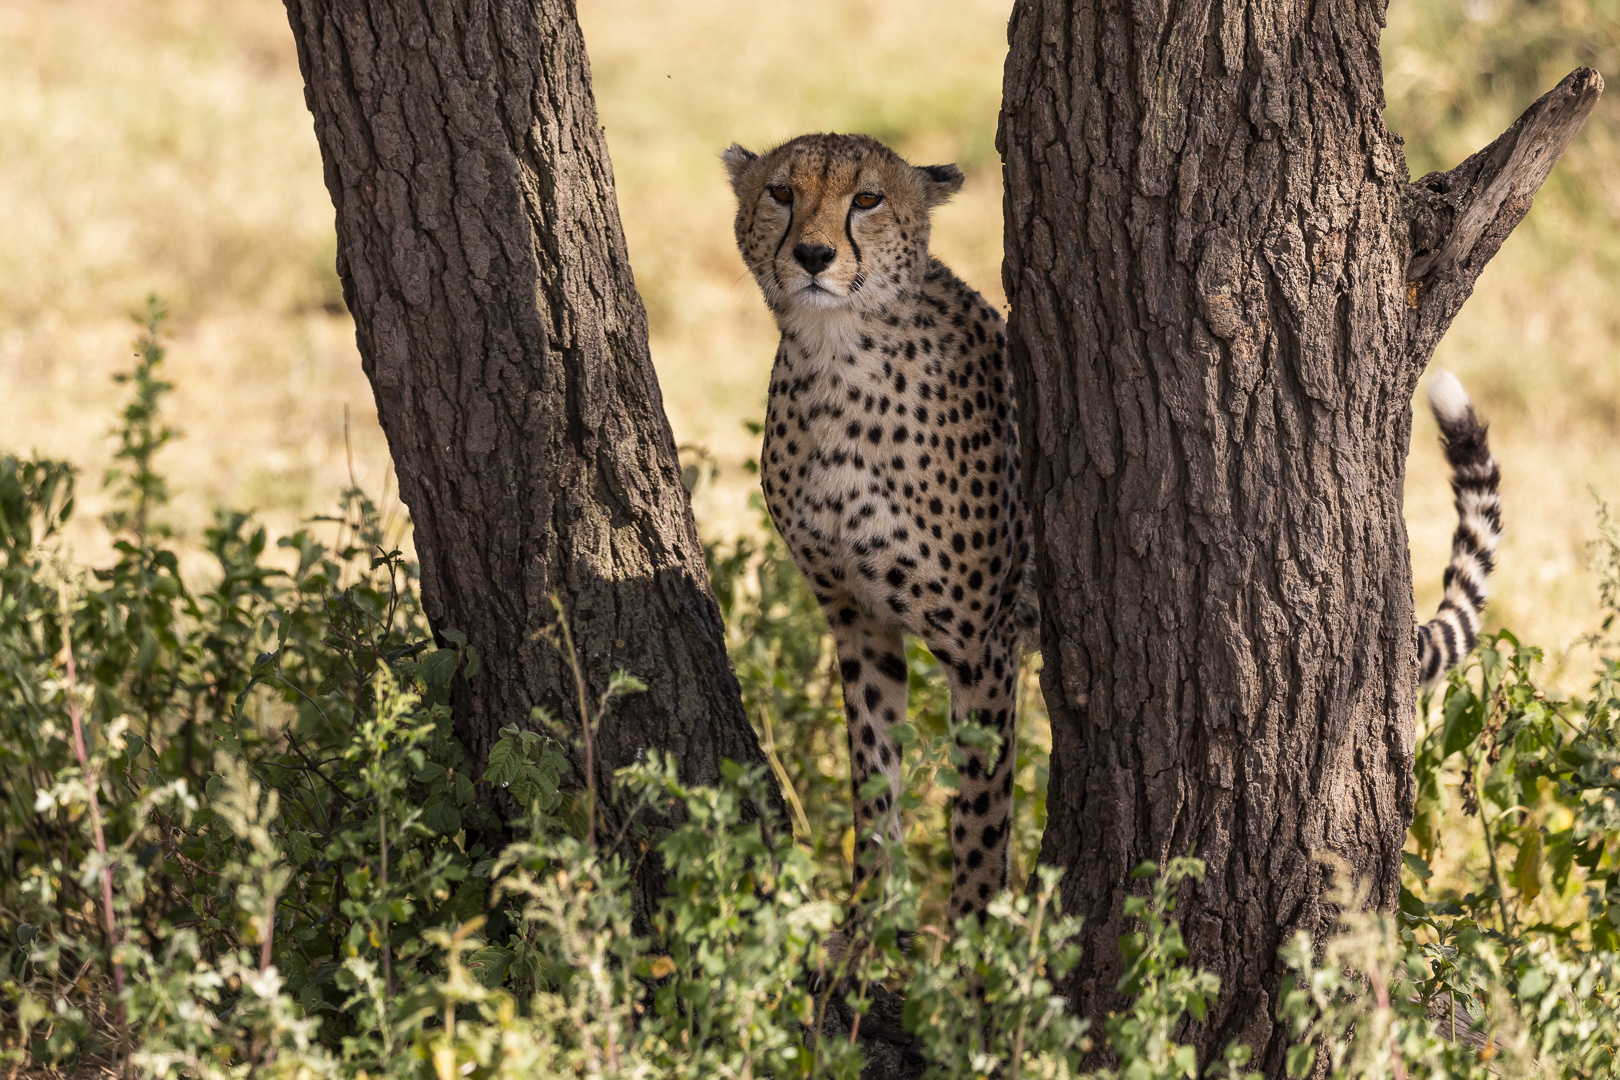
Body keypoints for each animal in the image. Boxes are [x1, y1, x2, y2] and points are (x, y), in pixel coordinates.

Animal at [722, 131, 1503, 932]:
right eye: (782, 192)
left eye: (868, 199)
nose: (813, 254)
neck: (836, 356)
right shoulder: (856, 620)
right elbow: (873, 783)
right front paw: (867, 936)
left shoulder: (980, 645)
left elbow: (979, 818)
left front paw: (972, 947)